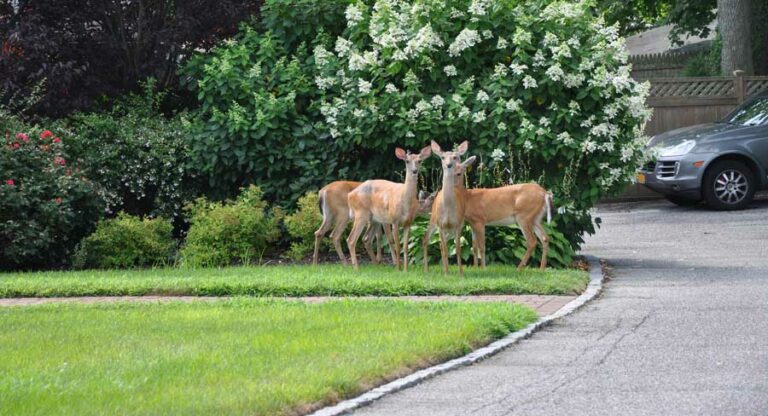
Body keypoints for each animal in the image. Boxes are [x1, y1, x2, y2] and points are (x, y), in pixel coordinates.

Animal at [422, 140, 473, 275]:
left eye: (455, 157)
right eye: (442, 157)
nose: (449, 165)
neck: (449, 208)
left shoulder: (458, 224)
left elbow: (458, 249)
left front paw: (460, 273)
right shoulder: (440, 224)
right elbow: (445, 249)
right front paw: (446, 273)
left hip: (449, 230)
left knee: (440, 244)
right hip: (433, 220)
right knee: (426, 239)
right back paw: (427, 269)